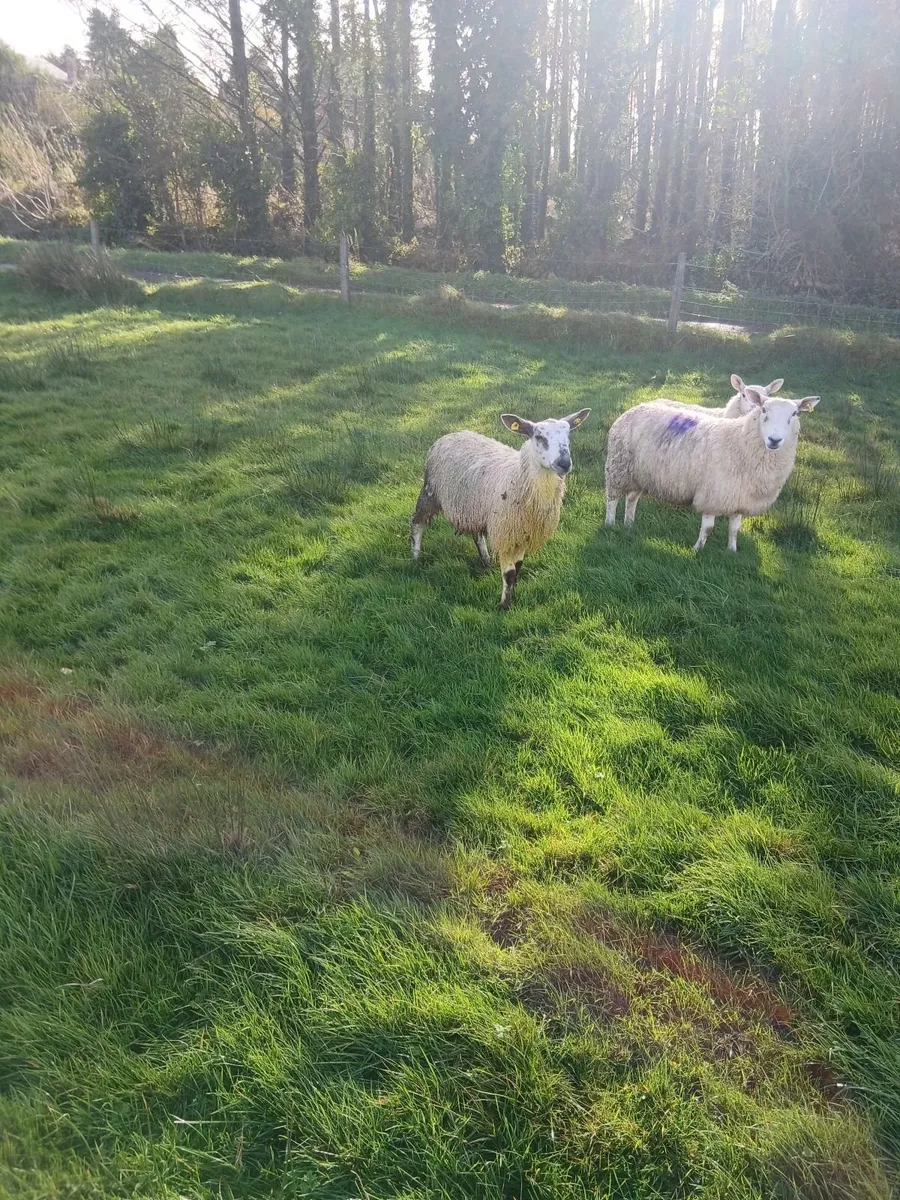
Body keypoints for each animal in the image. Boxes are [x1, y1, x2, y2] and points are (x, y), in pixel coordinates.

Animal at [411, 408, 591, 608]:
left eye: (568, 435)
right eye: (539, 437)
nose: (564, 464)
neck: (519, 477)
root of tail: (453, 433)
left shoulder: (522, 533)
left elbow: (518, 567)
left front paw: (512, 590)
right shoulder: (506, 534)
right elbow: (509, 573)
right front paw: (504, 605)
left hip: (475, 507)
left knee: (477, 535)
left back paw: (486, 561)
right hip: (430, 491)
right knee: (417, 523)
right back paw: (415, 557)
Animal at [604, 386, 820, 551]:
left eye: (795, 413)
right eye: (764, 410)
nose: (774, 440)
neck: (740, 442)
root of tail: (636, 407)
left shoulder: (738, 497)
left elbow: (734, 529)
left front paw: (732, 551)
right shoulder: (712, 494)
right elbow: (708, 528)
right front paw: (697, 549)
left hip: (638, 474)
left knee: (632, 498)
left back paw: (629, 524)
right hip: (618, 467)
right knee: (612, 499)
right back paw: (610, 524)